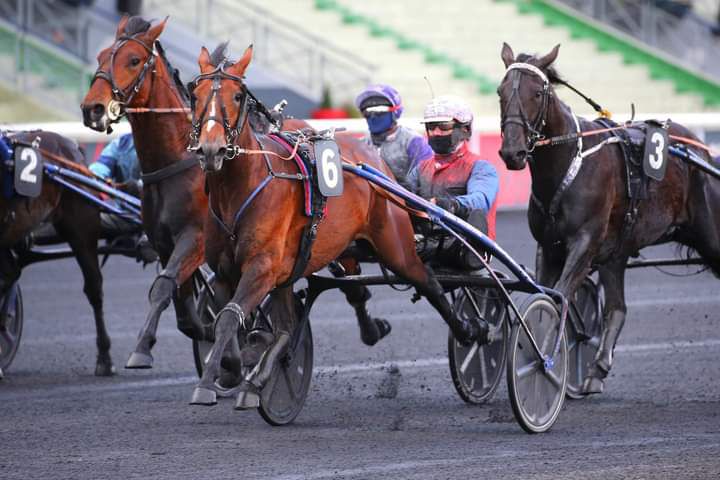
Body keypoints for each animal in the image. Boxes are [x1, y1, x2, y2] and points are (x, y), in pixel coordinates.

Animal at [82, 14, 396, 368]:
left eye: (133, 60)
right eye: (100, 56)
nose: (93, 108)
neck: (177, 159)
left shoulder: (195, 239)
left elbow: (168, 286)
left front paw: (146, 348)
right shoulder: (164, 242)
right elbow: (179, 301)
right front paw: (201, 333)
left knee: (353, 283)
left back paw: (371, 327)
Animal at [188, 43, 486, 406]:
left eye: (236, 95)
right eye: (195, 94)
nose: (211, 149)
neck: (243, 187)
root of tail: (372, 160)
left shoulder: (261, 267)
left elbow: (231, 316)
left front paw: (210, 384)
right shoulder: (231, 270)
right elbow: (232, 321)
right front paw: (238, 368)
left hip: (395, 245)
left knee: (428, 281)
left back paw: (471, 331)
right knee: (342, 294)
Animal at [498, 42, 720, 394]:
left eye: (537, 92)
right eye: (500, 92)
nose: (513, 152)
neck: (568, 160)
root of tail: (701, 151)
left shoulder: (585, 242)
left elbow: (560, 296)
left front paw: (543, 360)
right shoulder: (549, 247)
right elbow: (545, 293)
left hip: (710, 234)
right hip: (617, 251)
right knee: (617, 309)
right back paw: (596, 370)